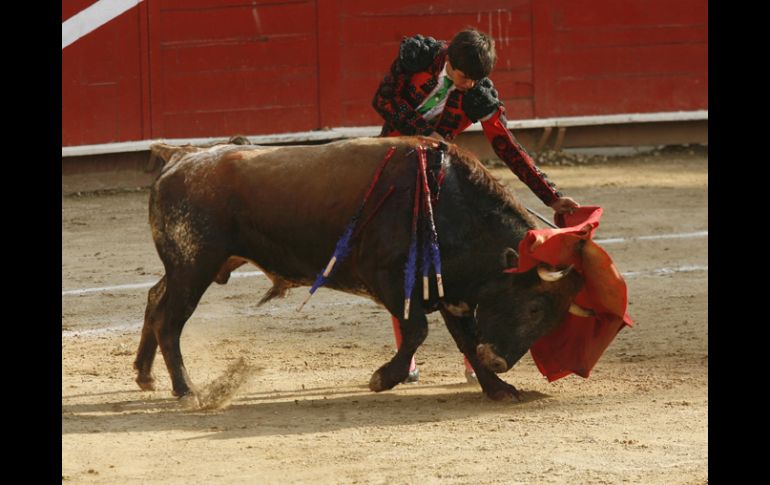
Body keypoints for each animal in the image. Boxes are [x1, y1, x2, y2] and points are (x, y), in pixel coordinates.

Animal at [136, 135, 584, 400]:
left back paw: (145, 376)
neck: (449, 202)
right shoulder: (388, 279)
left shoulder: (448, 289)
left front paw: (498, 387)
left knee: (154, 300)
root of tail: (182, 157)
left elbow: (465, 338)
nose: (499, 361)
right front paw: (384, 378)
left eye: (553, 320)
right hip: (194, 265)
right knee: (169, 321)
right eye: (534, 308)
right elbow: (418, 330)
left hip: (187, 267)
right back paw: (187, 390)